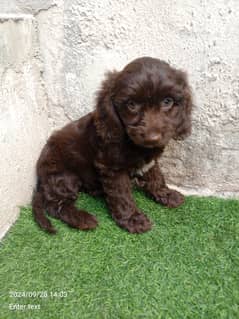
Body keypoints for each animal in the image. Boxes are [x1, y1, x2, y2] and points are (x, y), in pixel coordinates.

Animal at [32, 56, 192, 234]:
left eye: (167, 101)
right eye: (131, 104)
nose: (152, 138)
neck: (132, 143)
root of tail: (41, 180)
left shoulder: (149, 161)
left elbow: (156, 176)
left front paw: (165, 194)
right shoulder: (111, 167)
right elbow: (122, 195)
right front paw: (133, 220)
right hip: (64, 177)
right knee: (54, 205)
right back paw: (83, 219)